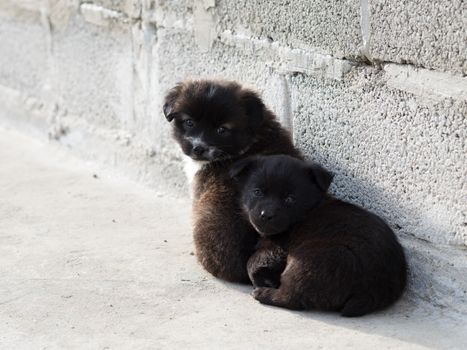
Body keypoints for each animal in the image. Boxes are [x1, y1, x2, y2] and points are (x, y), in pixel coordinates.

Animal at [232, 156, 408, 318]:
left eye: (290, 199)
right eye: (257, 192)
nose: (266, 215)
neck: (306, 211)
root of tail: (370, 291)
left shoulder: (278, 247)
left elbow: (252, 262)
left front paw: (263, 280)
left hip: (310, 260)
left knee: (292, 298)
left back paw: (264, 294)